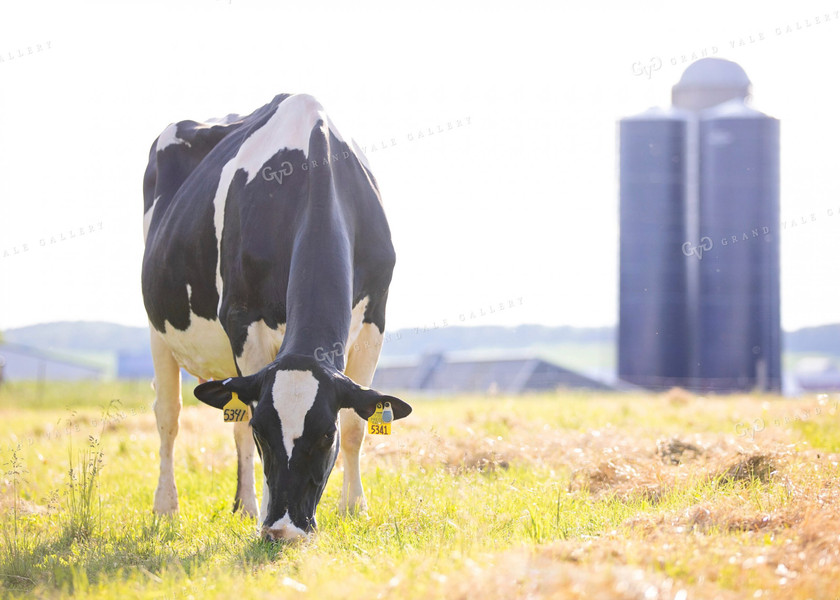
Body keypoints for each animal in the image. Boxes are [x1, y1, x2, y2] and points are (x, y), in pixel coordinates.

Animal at [143, 92, 412, 540]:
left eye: (325, 435)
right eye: (264, 432)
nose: (284, 529)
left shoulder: (375, 319)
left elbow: (358, 425)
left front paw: (354, 508)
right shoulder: (243, 320)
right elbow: (243, 425)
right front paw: (263, 515)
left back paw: (242, 508)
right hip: (159, 329)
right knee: (170, 417)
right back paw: (170, 508)